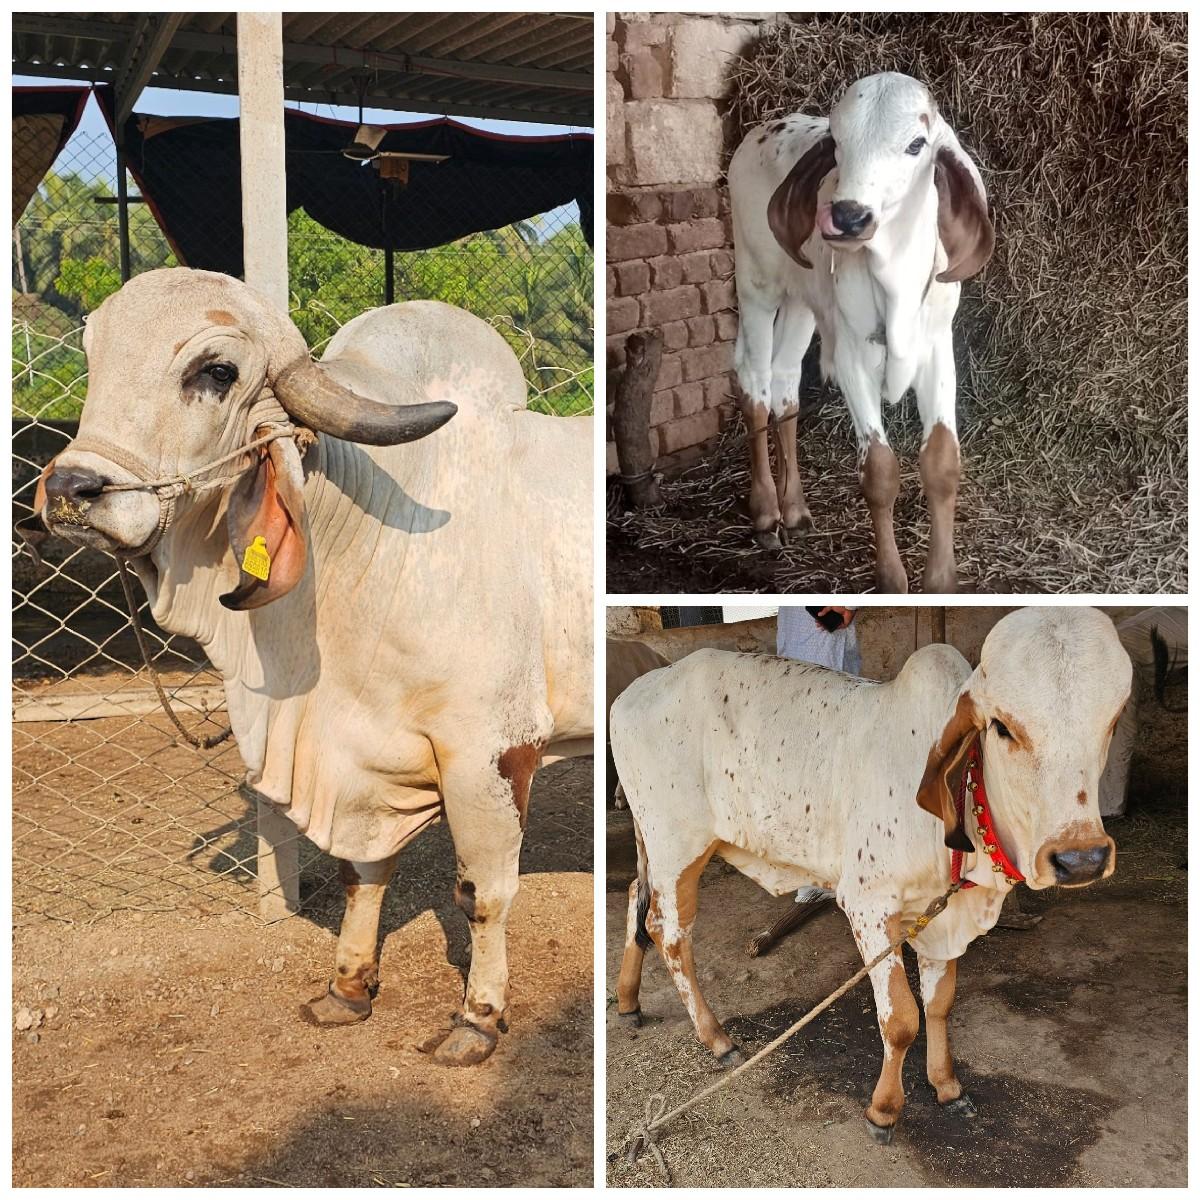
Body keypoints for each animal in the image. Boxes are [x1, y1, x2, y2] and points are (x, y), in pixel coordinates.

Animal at [25, 267, 593, 1066]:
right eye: (92, 352)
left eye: (217, 371)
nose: (70, 491)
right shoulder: (363, 757)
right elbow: (363, 875)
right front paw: (348, 988)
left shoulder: (493, 749)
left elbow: (483, 893)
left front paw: (477, 1018)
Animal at [610, 607, 1130, 1140]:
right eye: (1003, 728)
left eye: (1112, 720)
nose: (1081, 859)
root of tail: (638, 689)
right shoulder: (868, 904)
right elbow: (901, 1018)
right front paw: (883, 1110)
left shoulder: (940, 914)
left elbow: (939, 1004)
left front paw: (947, 1086)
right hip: (677, 847)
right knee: (669, 934)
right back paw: (716, 1038)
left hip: (660, 846)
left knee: (635, 898)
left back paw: (628, 1001)